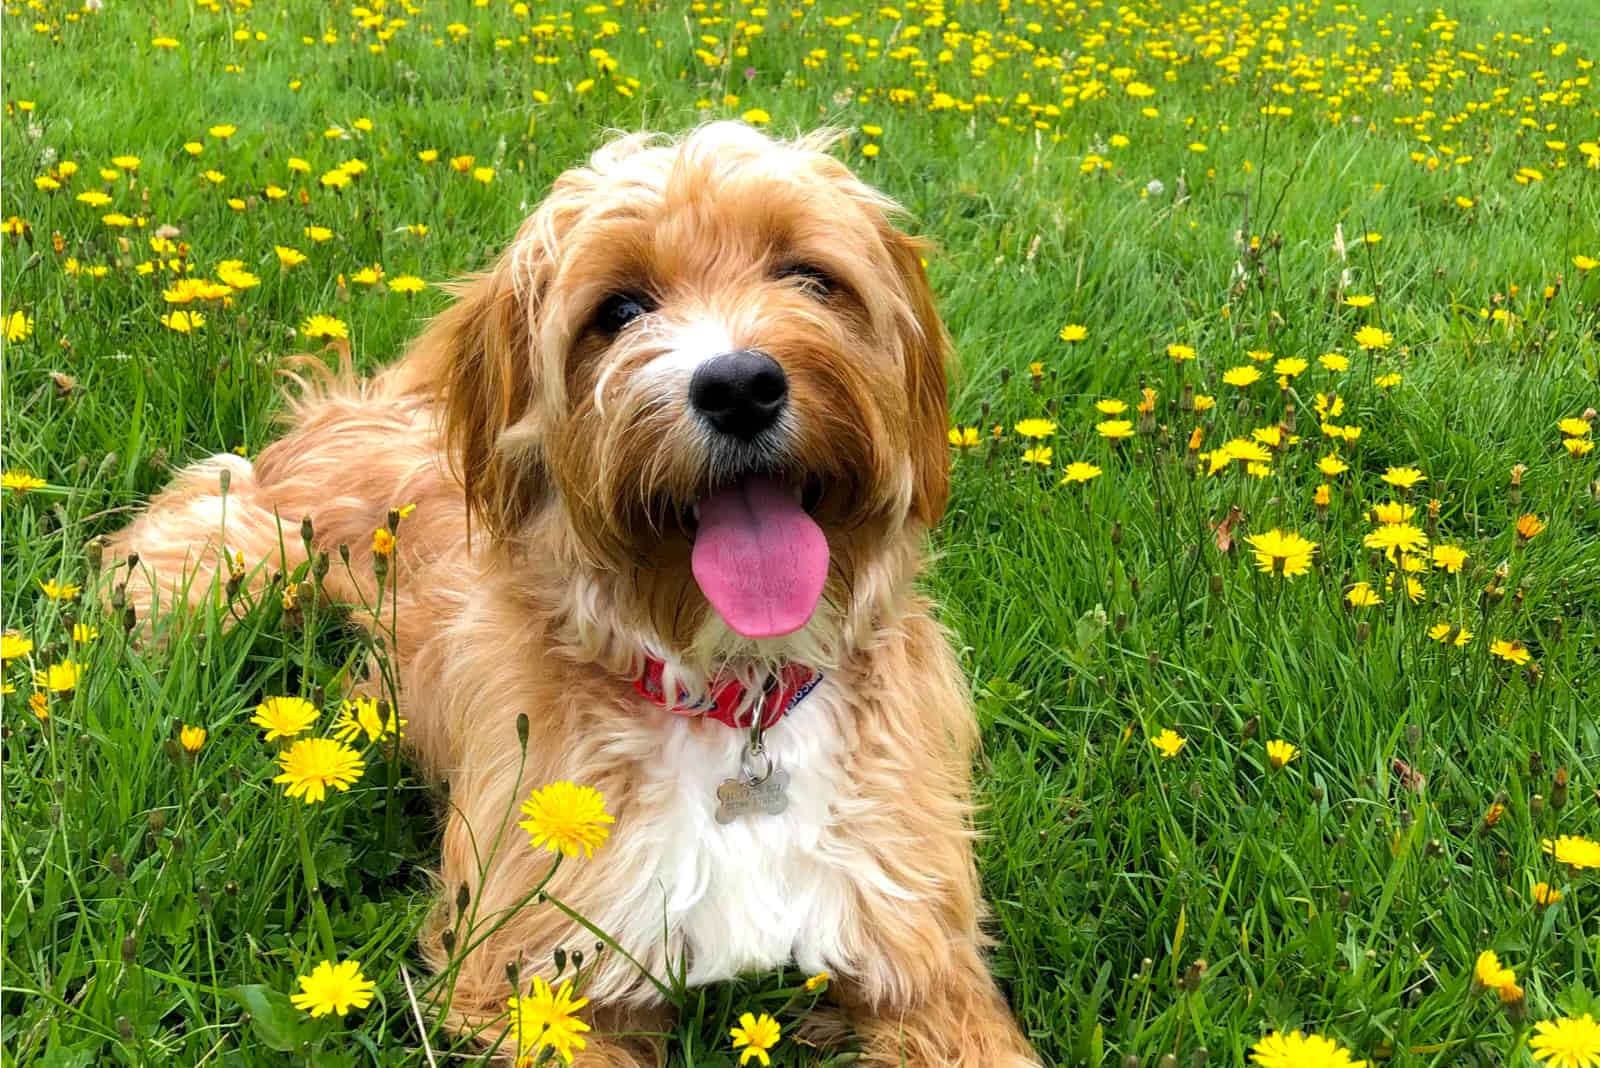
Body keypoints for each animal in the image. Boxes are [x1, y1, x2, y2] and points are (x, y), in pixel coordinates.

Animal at [106, 120, 1043, 1061]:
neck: (736, 698)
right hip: (221, 573)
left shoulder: (922, 960)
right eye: (620, 311)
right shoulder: (527, 976)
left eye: (810, 277)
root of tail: (356, 406)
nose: (739, 386)